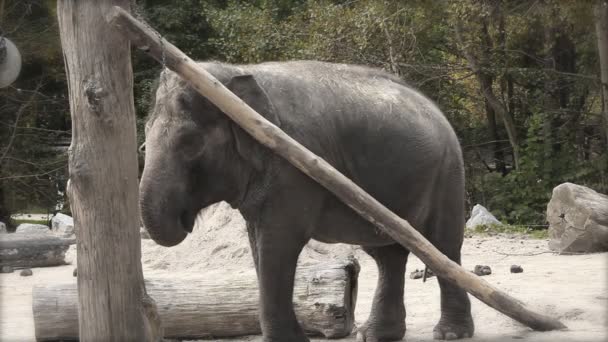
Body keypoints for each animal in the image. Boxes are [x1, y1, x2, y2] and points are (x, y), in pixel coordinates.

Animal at [141, 61, 476, 342]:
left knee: (443, 246)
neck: (233, 76)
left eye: (189, 143)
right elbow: (259, 247)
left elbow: (278, 245)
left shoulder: (295, 170)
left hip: (448, 172)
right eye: (144, 141)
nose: (184, 218)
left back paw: (450, 334)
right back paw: (375, 335)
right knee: (387, 254)